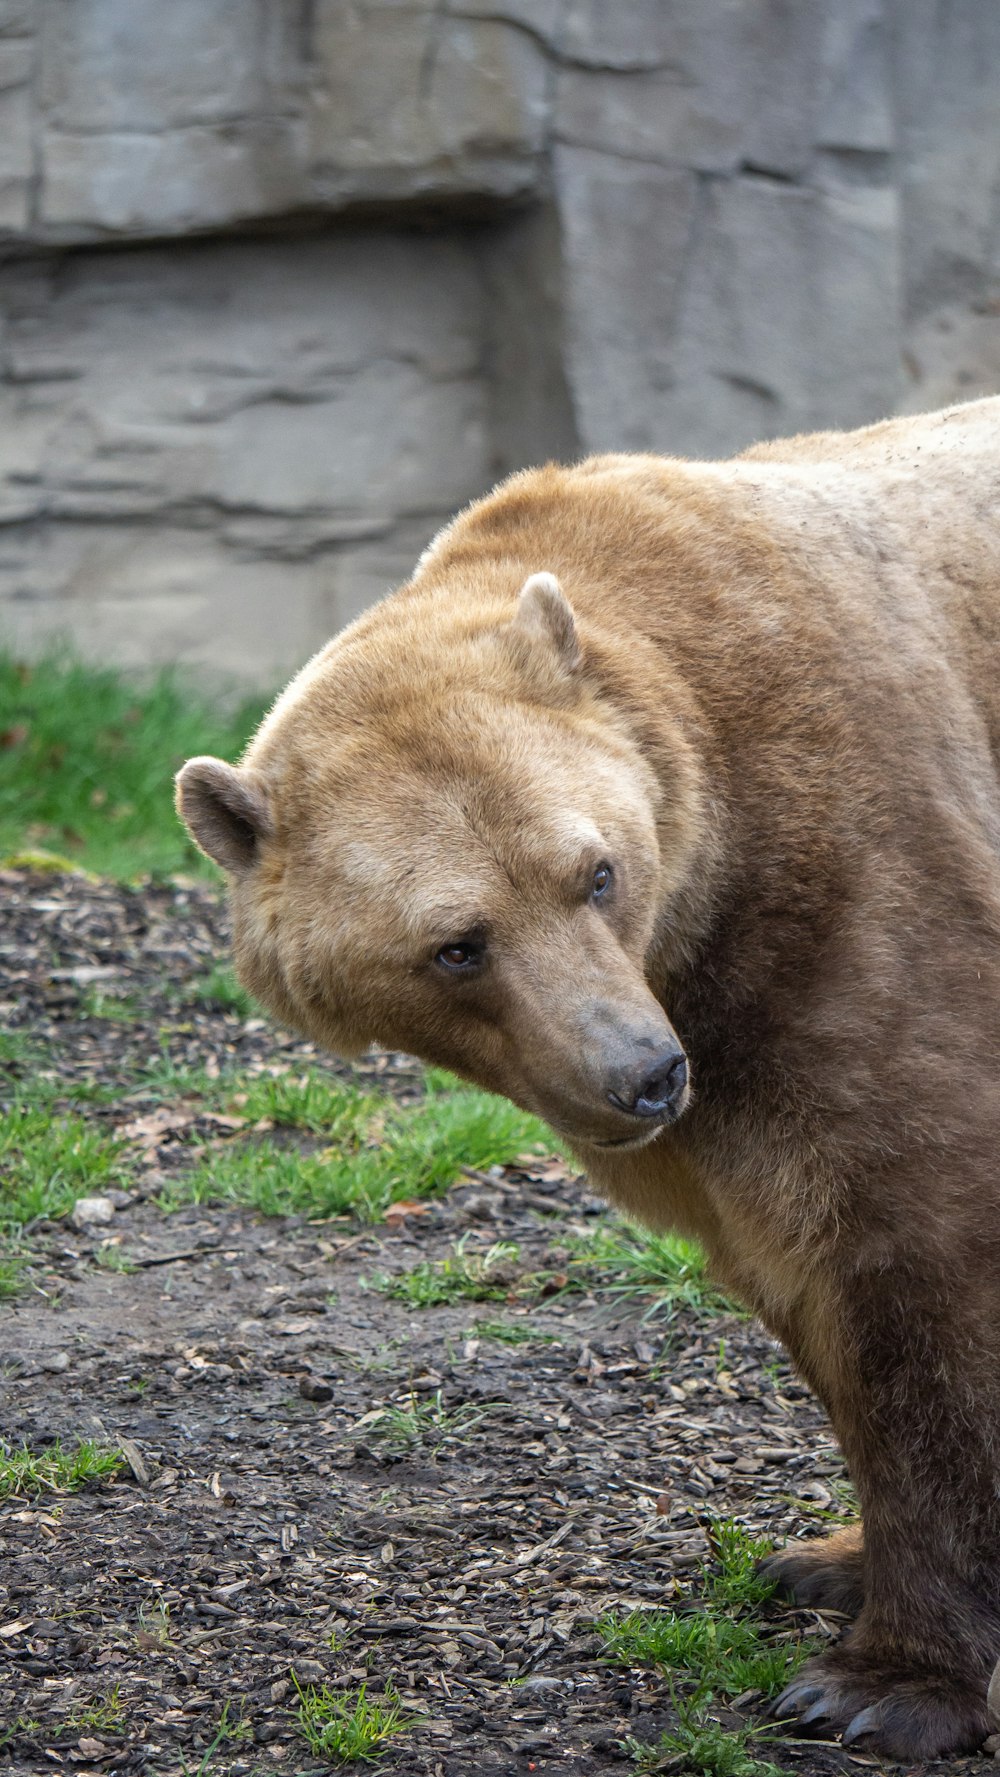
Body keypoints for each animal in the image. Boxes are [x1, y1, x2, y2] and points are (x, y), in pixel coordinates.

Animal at [177, 399, 1000, 1748]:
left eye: (594, 870)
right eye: (457, 943)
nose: (643, 1073)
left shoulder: (853, 885)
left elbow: (917, 1245)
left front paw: (879, 1685)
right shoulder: (720, 1089)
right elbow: (800, 1274)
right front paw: (830, 1558)